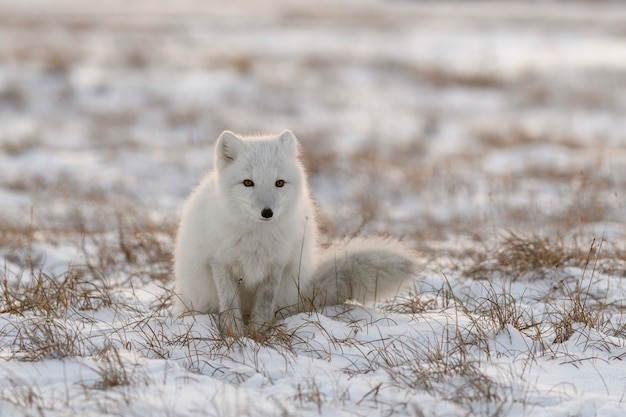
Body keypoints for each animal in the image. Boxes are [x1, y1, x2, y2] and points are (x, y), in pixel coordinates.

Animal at [173, 132, 412, 336]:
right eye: (248, 183)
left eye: (279, 183)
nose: (267, 212)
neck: (257, 238)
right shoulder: (220, 263)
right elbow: (230, 305)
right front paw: (234, 335)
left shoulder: (276, 265)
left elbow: (264, 304)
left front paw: (258, 333)